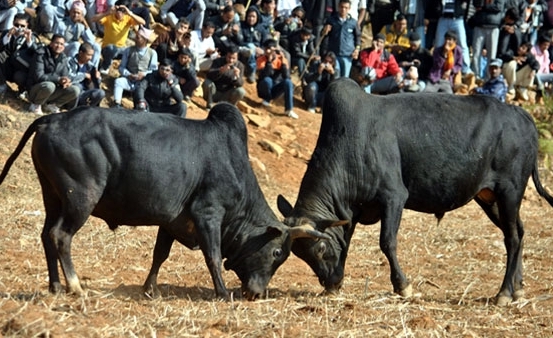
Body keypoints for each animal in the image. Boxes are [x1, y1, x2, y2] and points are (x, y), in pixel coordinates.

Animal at [1, 104, 328, 300]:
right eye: (277, 253)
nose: (257, 293)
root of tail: (52, 119)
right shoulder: (208, 214)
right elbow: (213, 256)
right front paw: (223, 293)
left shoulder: (171, 222)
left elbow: (160, 255)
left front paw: (150, 288)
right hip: (80, 198)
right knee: (60, 236)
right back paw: (75, 286)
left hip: (52, 197)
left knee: (46, 235)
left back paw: (56, 286)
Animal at [278, 78, 552, 306]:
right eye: (300, 255)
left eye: (320, 249)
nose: (330, 282)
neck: (352, 140)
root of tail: (523, 116)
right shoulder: (352, 210)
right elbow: (346, 242)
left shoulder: (394, 197)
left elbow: (387, 242)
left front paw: (403, 287)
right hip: (490, 197)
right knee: (518, 232)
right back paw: (518, 288)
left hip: (509, 191)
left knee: (512, 238)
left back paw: (504, 293)